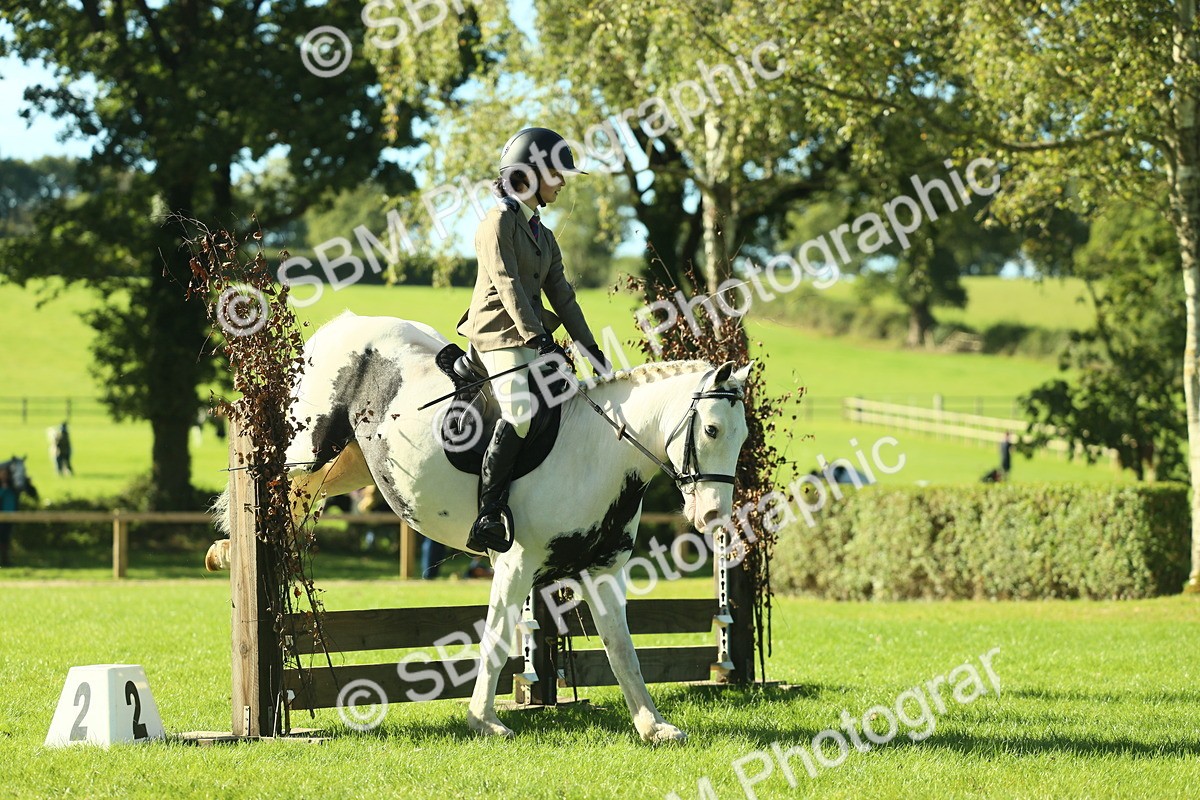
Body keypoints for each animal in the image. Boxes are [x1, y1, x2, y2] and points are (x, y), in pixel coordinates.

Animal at [204, 311, 753, 743]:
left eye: (744, 436)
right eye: (711, 429)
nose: (713, 517)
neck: (599, 455)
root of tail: (343, 324)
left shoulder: (602, 571)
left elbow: (622, 648)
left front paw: (652, 725)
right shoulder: (516, 562)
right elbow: (497, 636)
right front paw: (484, 721)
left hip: (351, 465)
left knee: (303, 501)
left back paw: (234, 553)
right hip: (307, 450)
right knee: (276, 492)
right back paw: (234, 552)